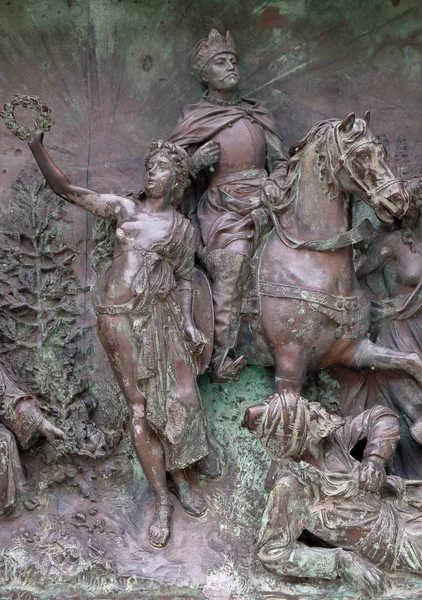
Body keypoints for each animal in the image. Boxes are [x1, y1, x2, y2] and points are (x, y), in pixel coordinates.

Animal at [236, 110, 422, 396]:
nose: (399, 198)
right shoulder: (289, 363)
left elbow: (413, 361)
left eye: (382, 152)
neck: (312, 255)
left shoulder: (355, 351)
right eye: (361, 156)